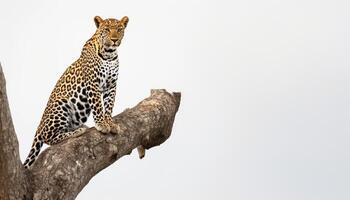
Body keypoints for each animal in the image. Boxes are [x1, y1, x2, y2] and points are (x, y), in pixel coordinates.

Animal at [23, 16, 130, 169]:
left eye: (120, 29)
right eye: (107, 30)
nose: (114, 39)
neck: (109, 54)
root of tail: (39, 127)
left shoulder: (111, 86)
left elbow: (109, 106)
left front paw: (110, 123)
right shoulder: (93, 84)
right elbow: (98, 106)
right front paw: (102, 125)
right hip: (60, 105)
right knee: (49, 138)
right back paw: (77, 132)